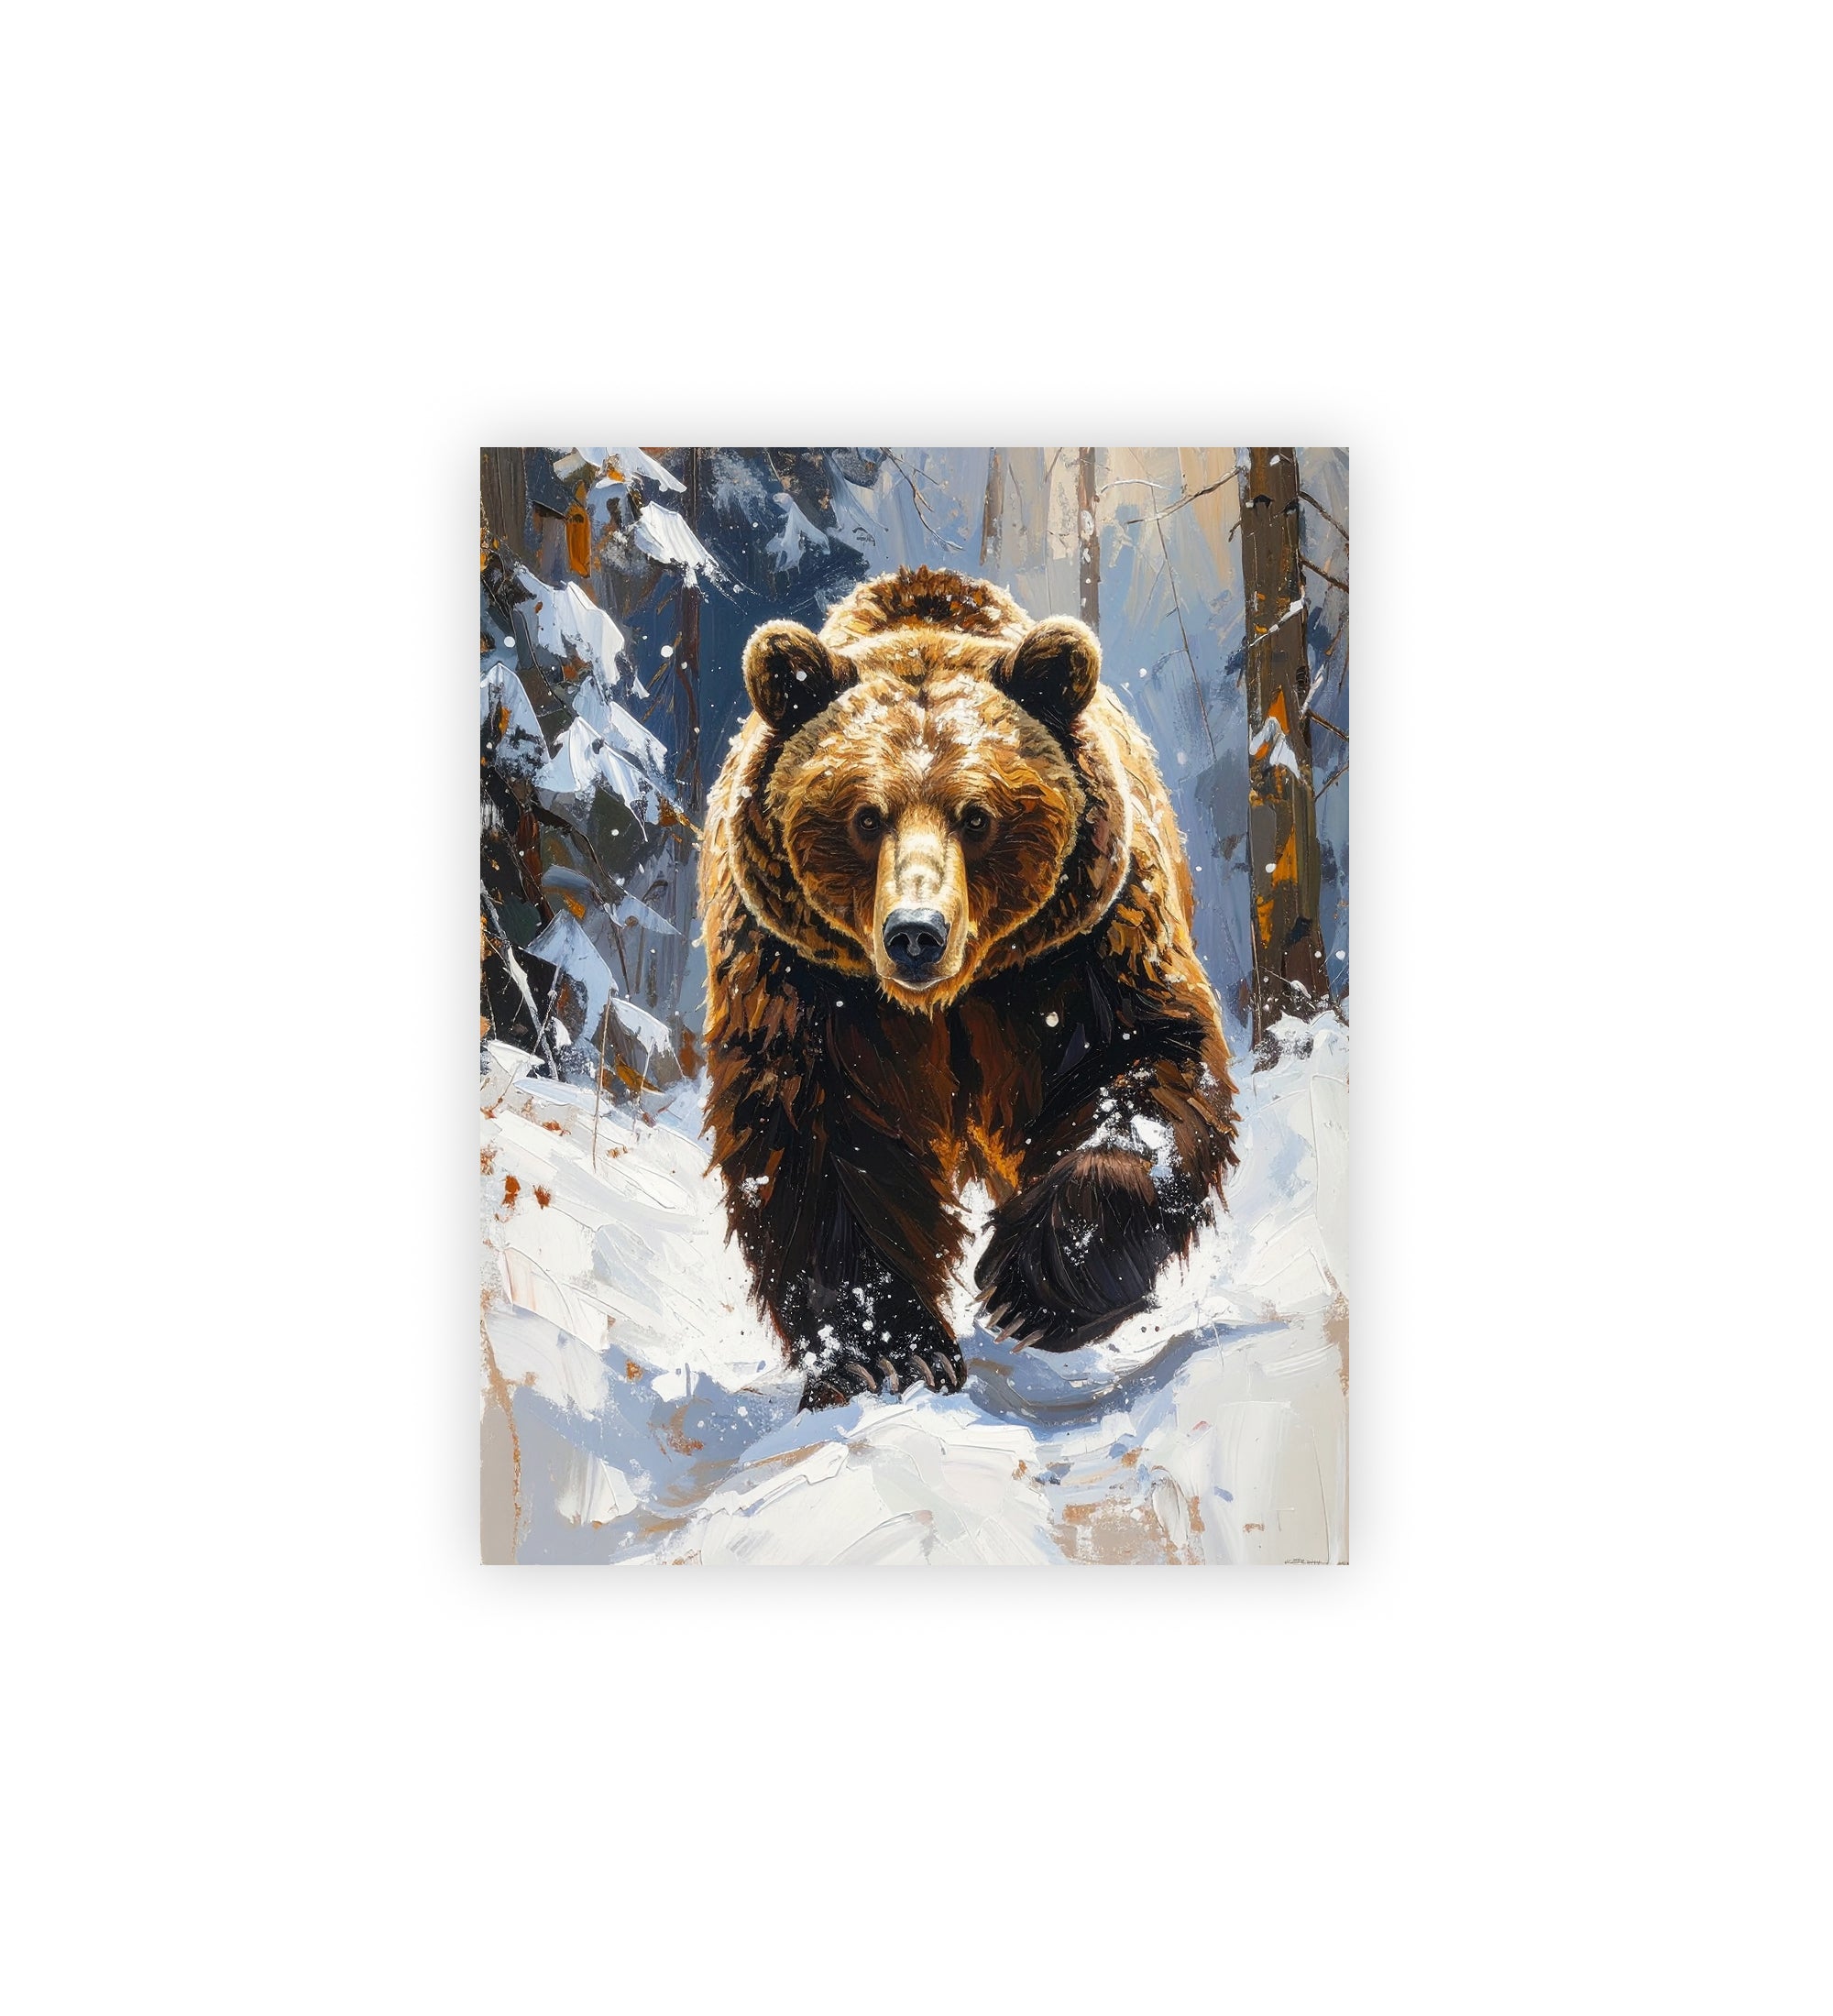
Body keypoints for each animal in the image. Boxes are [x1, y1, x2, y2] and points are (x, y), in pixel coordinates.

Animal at [700, 565, 1238, 1411]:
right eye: (865, 817)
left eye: (977, 816)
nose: (916, 932)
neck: (947, 1000)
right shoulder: (805, 978)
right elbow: (816, 1137)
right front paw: (886, 1354)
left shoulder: (1080, 947)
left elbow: (1145, 1063)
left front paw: (1029, 1286)